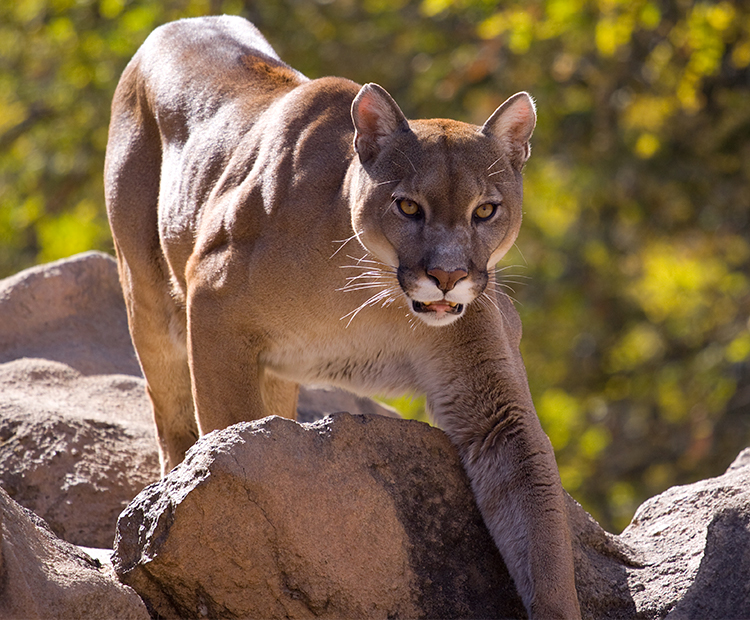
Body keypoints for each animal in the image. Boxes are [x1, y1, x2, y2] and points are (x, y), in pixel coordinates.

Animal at [107, 15, 580, 620]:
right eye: (408, 206)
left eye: (486, 210)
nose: (447, 275)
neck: (372, 291)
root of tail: (180, 21)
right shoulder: (211, 304)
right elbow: (226, 437)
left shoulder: (496, 406)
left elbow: (535, 513)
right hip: (148, 300)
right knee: (173, 418)